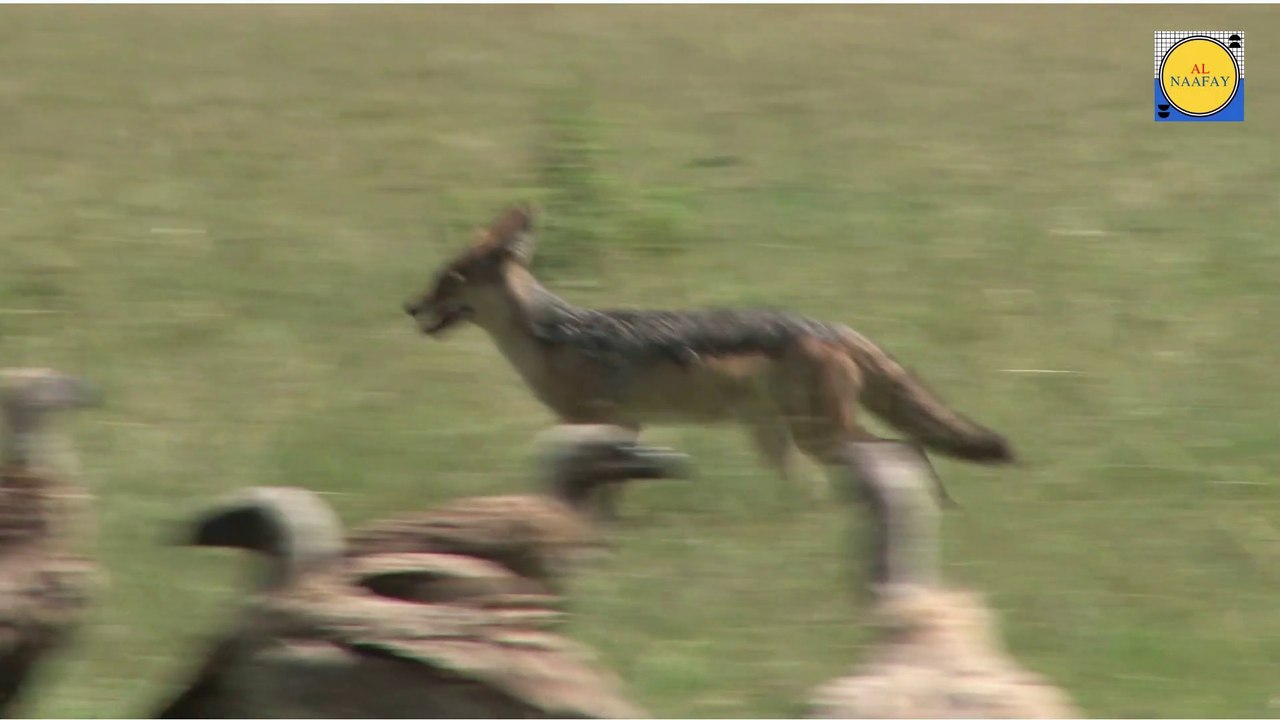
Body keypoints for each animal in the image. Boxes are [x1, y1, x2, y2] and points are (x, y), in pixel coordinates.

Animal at [402, 205, 1013, 508]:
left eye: (449, 280)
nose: (409, 307)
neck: (550, 335)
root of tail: (832, 326)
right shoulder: (621, 426)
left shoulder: (604, 421)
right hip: (785, 441)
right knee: (824, 484)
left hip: (821, 437)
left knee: (907, 449)